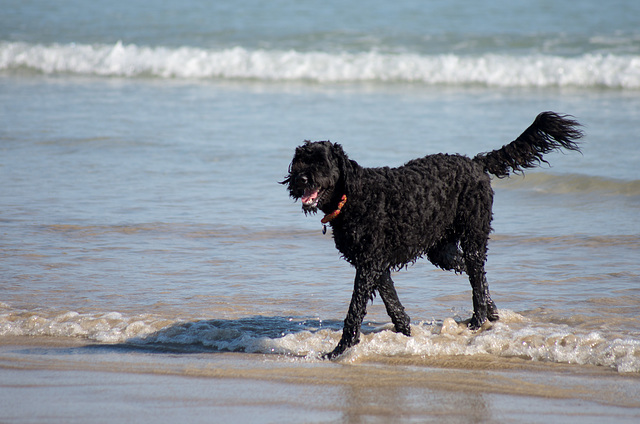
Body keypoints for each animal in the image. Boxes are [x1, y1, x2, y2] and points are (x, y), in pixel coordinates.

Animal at [282, 112, 584, 358]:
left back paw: (478, 319)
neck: (353, 197)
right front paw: (406, 335)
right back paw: (492, 312)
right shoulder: (375, 265)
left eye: (321, 162)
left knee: (477, 277)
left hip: (474, 236)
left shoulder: (368, 266)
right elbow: (394, 304)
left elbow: (355, 310)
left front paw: (339, 350)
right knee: (474, 273)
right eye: (300, 161)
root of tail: (474, 163)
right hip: (443, 250)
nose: (301, 179)